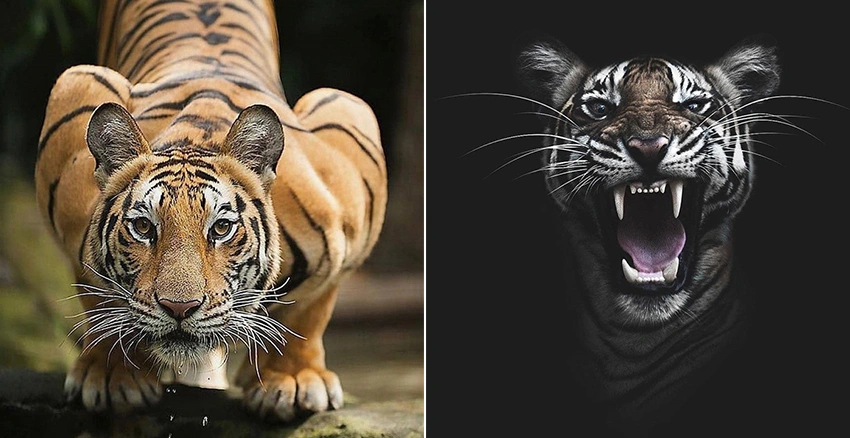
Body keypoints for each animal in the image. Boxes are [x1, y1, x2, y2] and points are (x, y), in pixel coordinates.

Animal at [33, 0, 387, 422]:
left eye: (220, 229)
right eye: (143, 227)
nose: (179, 307)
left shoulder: (349, 130)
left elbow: (310, 307)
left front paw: (294, 380)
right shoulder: (74, 92)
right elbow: (98, 296)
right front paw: (112, 376)